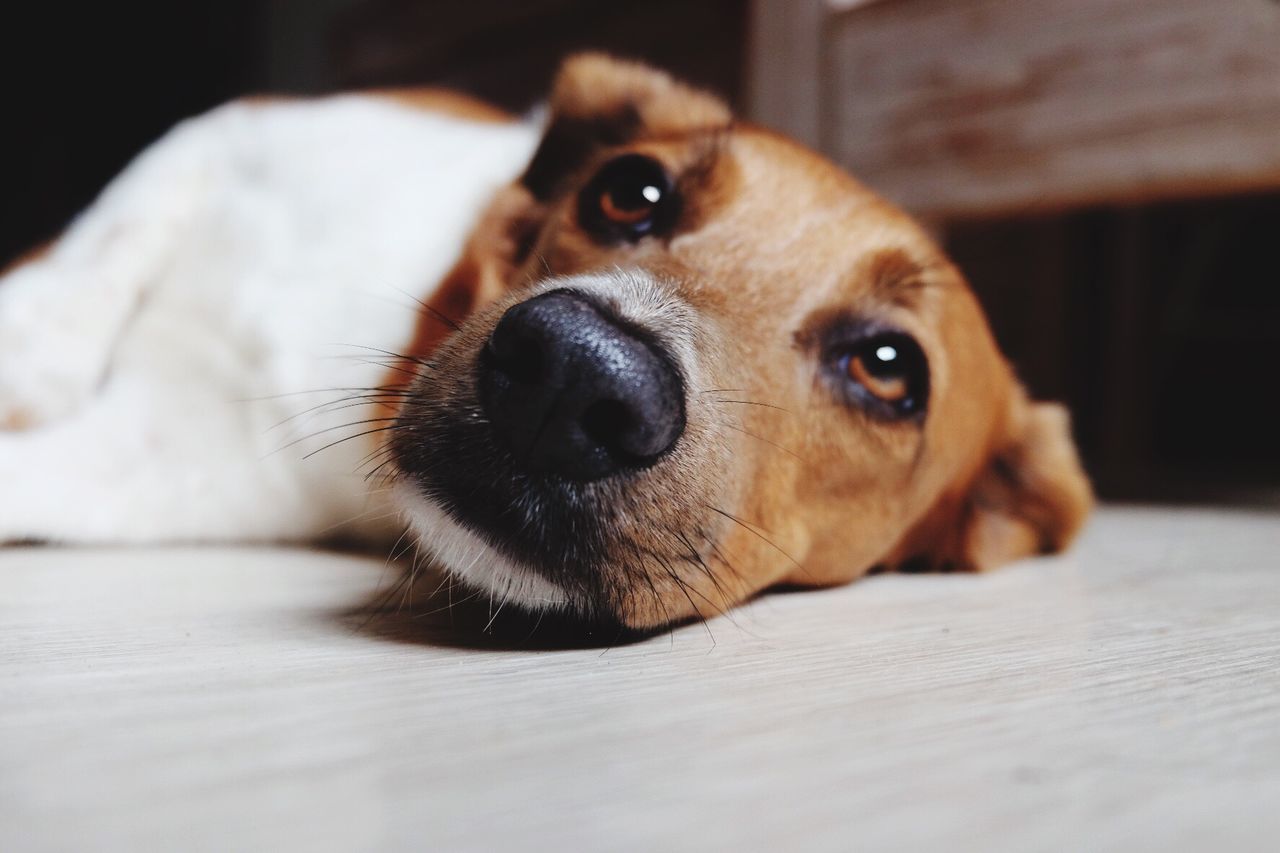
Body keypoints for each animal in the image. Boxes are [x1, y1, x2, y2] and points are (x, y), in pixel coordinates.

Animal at [0, 53, 1090, 625]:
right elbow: (90, 261)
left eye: (887, 368)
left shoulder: (167, 461)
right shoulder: (226, 132)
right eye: (630, 189)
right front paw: (32, 352)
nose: (572, 376)